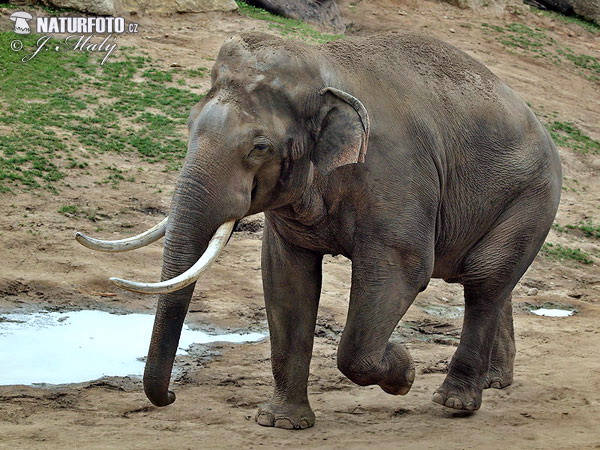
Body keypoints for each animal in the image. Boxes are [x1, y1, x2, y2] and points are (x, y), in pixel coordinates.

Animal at [76, 30, 564, 428]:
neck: (324, 66)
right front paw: (281, 422)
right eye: (189, 126)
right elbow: (286, 279)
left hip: (533, 195)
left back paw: (455, 402)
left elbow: (403, 271)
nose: (174, 395)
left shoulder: (395, 174)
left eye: (259, 147)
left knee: (485, 279)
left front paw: (403, 371)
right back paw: (495, 382)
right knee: (492, 282)